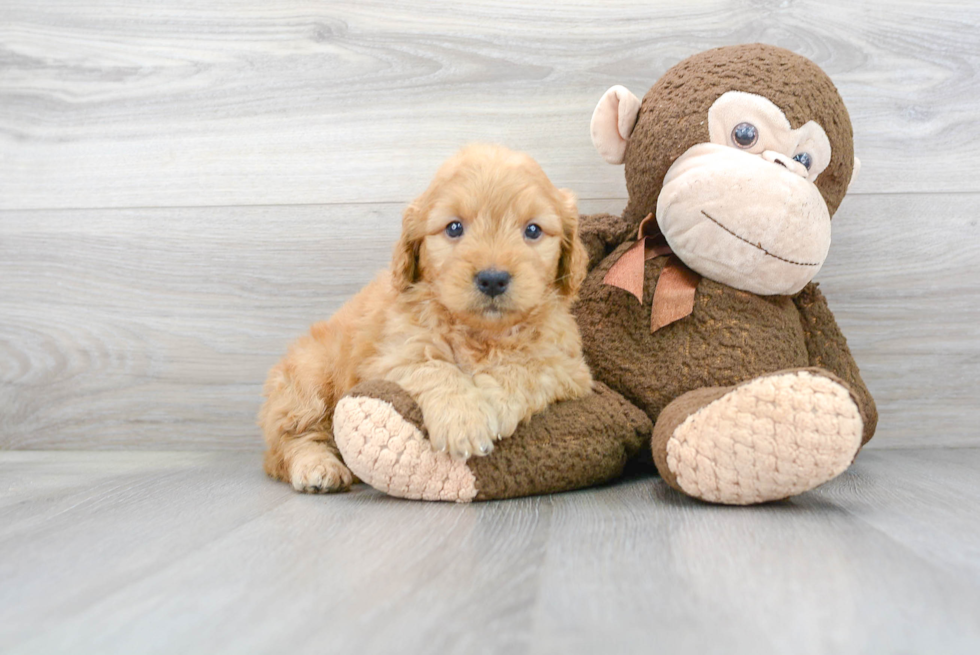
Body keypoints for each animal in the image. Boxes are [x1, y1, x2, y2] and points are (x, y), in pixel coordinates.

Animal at [258, 144, 588, 492]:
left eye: (533, 230)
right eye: (454, 227)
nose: (493, 279)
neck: (481, 333)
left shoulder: (570, 367)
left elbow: (528, 367)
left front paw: (491, 399)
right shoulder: (390, 357)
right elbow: (434, 368)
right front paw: (464, 420)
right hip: (309, 375)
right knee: (290, 441)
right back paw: (318, 466)